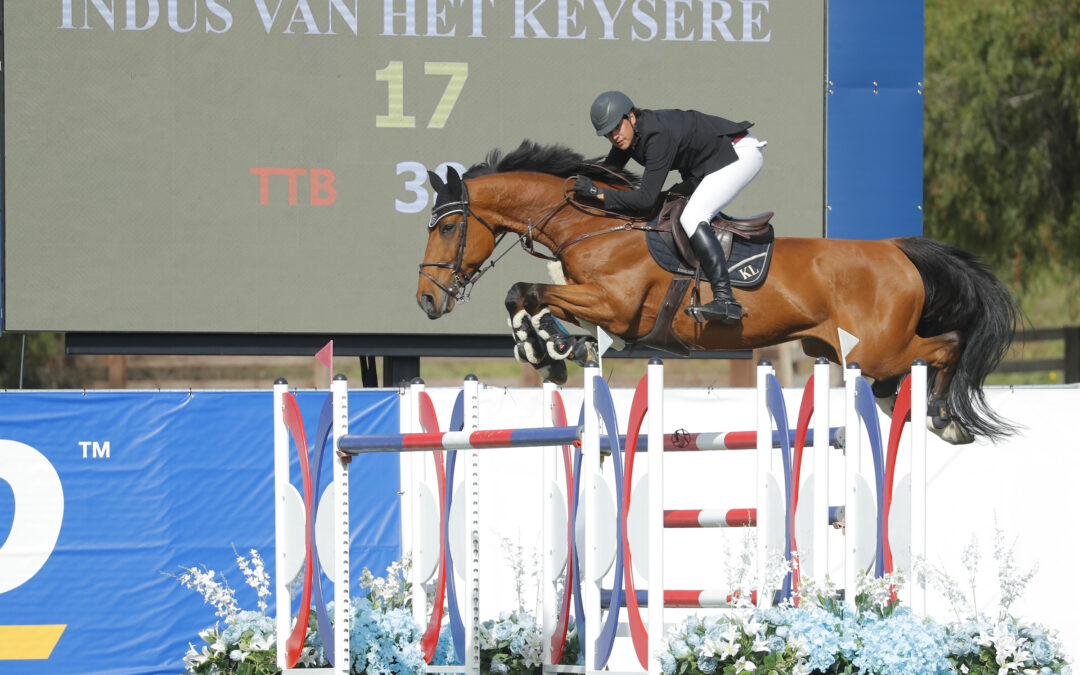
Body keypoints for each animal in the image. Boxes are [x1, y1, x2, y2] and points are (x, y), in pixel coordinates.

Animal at [414, 142, 1019, 444]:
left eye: (448, 227)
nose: (427, 300)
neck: (595, 223)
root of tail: (897, 251)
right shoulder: (596, 307)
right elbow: (531, 299)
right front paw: (551, 350)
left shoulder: (616, 306)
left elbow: (526, 289)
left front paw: (550, 349)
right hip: (845, 353)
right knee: (900, 381)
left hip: (876, 350)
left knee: (945, 347)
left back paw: (943, 415)